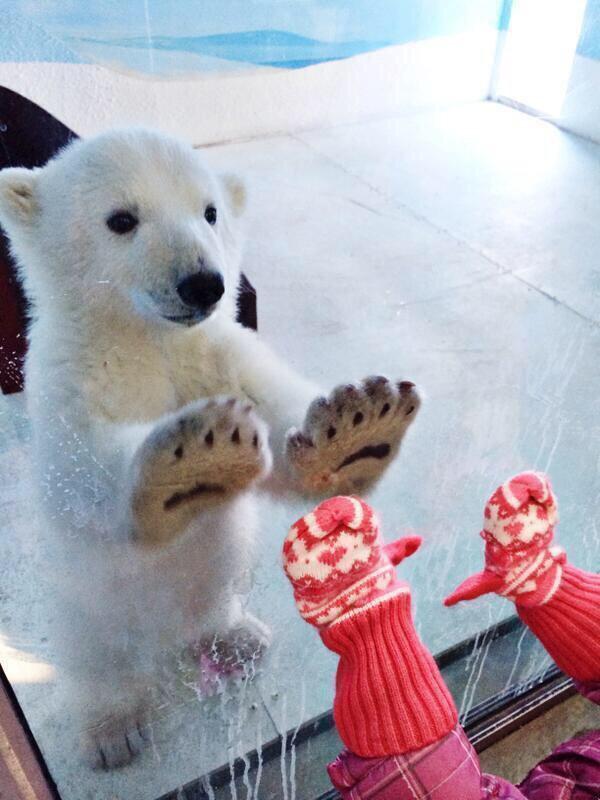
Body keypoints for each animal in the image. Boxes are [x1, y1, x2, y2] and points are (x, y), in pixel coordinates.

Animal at [0, 128, 420, 769]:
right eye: (121, 219)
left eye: (210, 211)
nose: (204, 282)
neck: (147, 338)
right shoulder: (73, 379)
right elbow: (85, 461)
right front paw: (190, 462)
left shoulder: (215, 352)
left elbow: (277, 419)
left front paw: (356, 429)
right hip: (83, 600)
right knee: (96, 652)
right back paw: (113, 730)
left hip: (222, 567)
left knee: (215, 589)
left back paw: (237, 636)